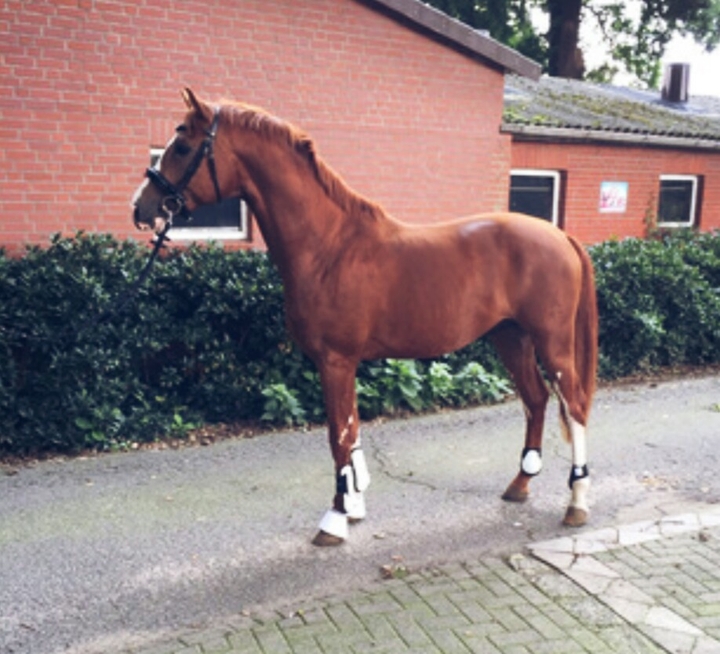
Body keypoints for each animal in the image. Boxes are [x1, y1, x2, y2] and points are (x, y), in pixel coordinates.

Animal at [132, 88, 598, 547]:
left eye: (183, 146)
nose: (141, 207)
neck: (330, 247)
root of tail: (561, 235)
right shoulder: (343, 363)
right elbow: (351, 430)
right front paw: (353, 504)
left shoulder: (336, 360)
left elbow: (338, 435)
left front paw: (336, 519)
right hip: (510, 337)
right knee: (536, 399)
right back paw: (520, 485)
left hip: (552, 342)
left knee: (573, 405)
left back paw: (577, 503)